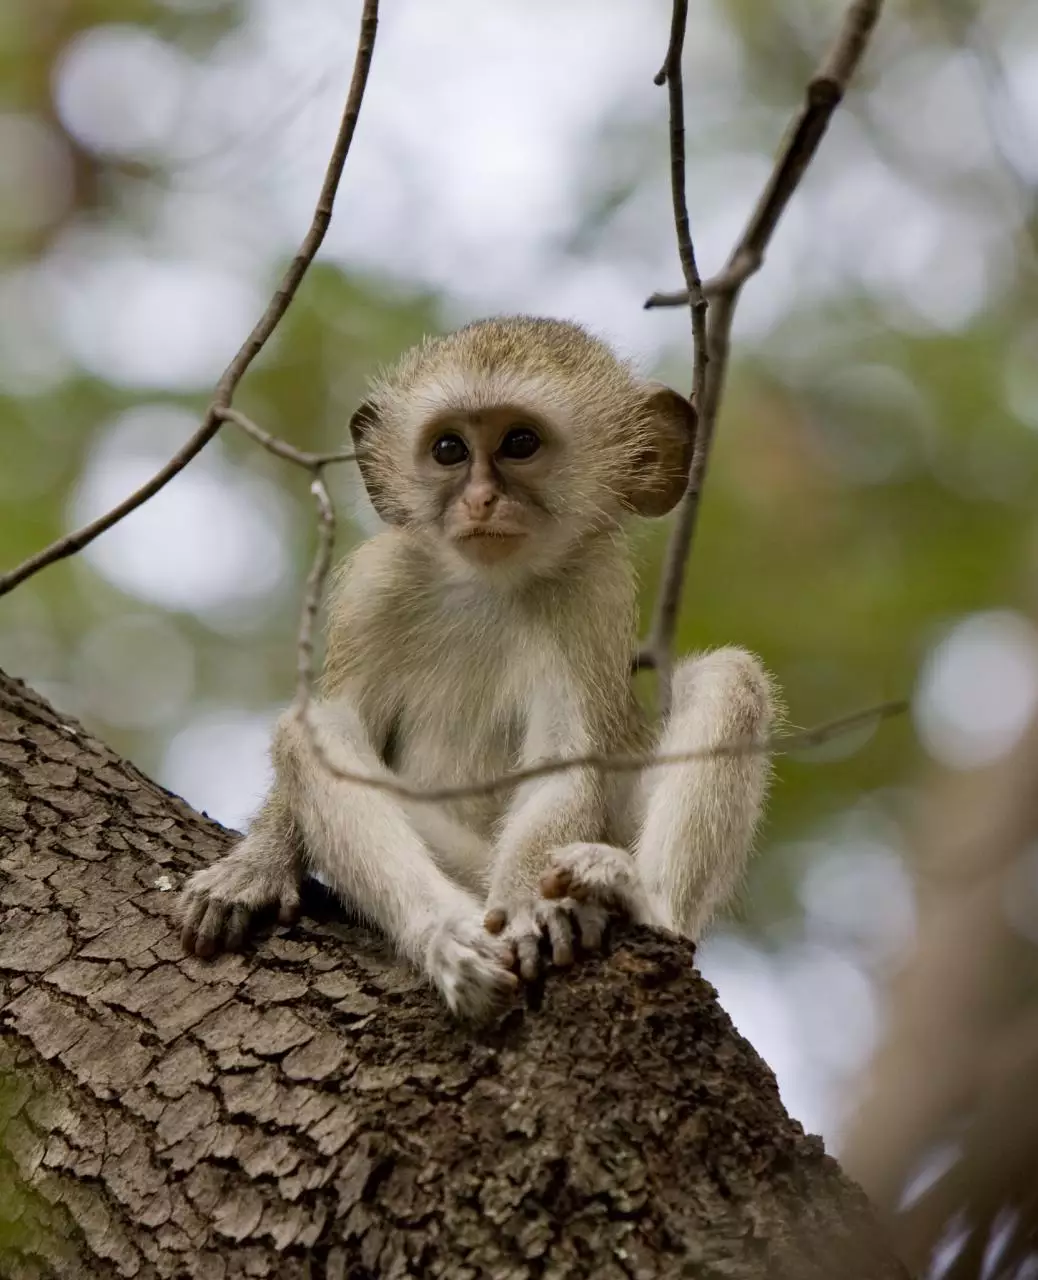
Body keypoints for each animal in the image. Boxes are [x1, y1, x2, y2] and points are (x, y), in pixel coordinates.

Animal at [180, 317, 778, 1018]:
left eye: (520, 443)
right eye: (449, 450)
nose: (482, 500)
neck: (487, 585)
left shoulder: (593, 594)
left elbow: (564, 760)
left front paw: (527, 908)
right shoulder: (378, 583)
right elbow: (331, 726)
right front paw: (259, 865)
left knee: (732, 680)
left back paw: (639, 900)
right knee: (310, 731)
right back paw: (450, 933)